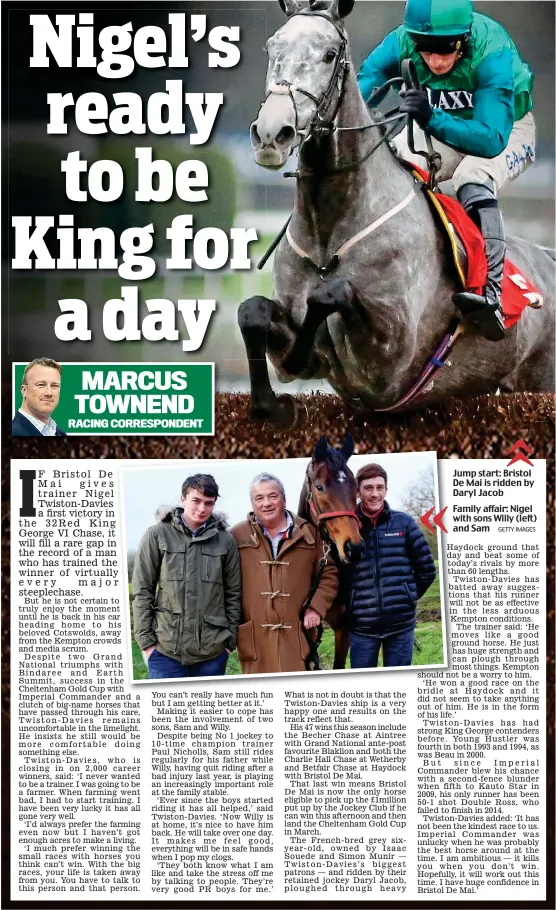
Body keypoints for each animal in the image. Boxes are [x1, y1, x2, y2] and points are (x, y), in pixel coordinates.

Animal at [237, 0, 552, 430]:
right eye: (272, 48)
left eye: (330, 54)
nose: (271, 134)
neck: (329, 229)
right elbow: (251, 311)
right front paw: (272, 403)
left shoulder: (389, 360)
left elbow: (330, 292)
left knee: (476, 179)